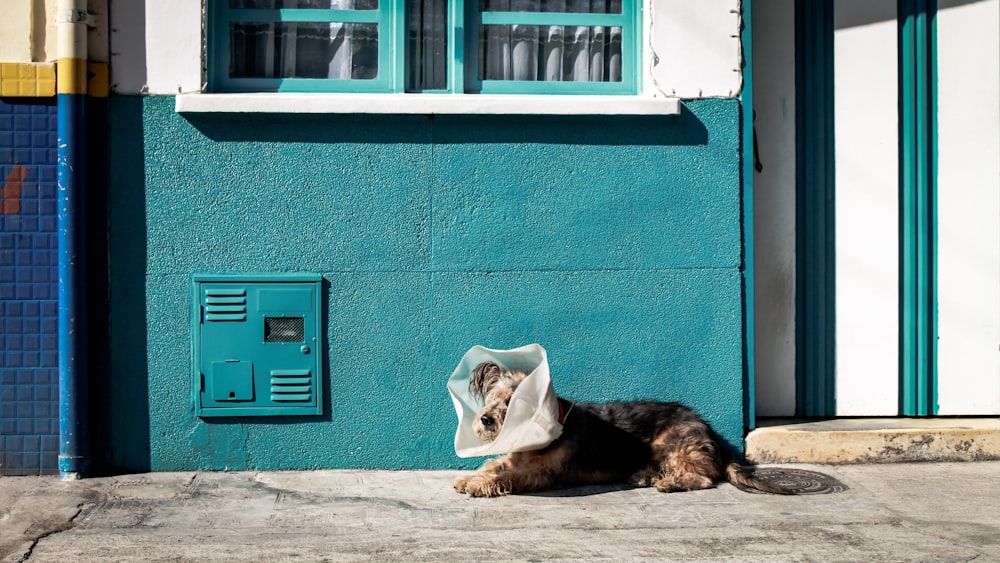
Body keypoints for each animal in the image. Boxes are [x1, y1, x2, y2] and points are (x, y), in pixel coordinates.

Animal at [454, 362, 788, 498]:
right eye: (493, 398)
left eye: (512, 402)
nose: (485, 419)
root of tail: (711, 431)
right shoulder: (515, 459)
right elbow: (494, 464)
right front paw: (471, 477)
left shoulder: (542, 474)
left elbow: (508, 476)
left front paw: (479, 485)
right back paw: (644, 476)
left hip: (669, 441)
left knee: (702, 478)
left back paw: (669, 483)